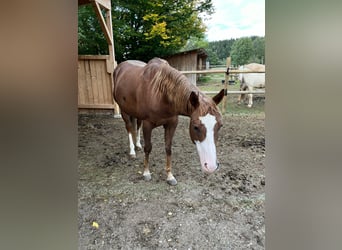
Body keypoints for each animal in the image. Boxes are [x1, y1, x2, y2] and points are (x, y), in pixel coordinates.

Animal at [113, 57, 224, 185]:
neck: (160, 93)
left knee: (137, 126)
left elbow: (168, 148)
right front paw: (146, 172)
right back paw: (132, 151)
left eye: (220, 126)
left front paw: (170, 176)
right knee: (129, 128)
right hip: (124, 111)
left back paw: (138, 145)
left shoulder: (171, 124)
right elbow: (148, 148)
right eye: (195, 127)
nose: (211, 167)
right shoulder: (148, 125)